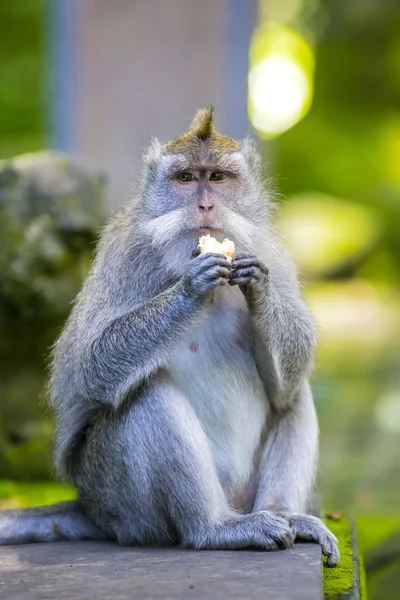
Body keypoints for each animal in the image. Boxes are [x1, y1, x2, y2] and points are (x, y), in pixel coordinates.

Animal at [0, 109, 340, 568]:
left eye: (217, 177)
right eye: (185, 178)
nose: (205, 204)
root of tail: (91, 508)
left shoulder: (271, 248)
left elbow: (287, 381)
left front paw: (259, 287)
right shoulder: (124, 254)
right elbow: (86, 364)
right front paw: (191, 289)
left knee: (295, 395)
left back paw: (284, 515)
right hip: (120, 502)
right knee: (146, 393)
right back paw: (213, 528)